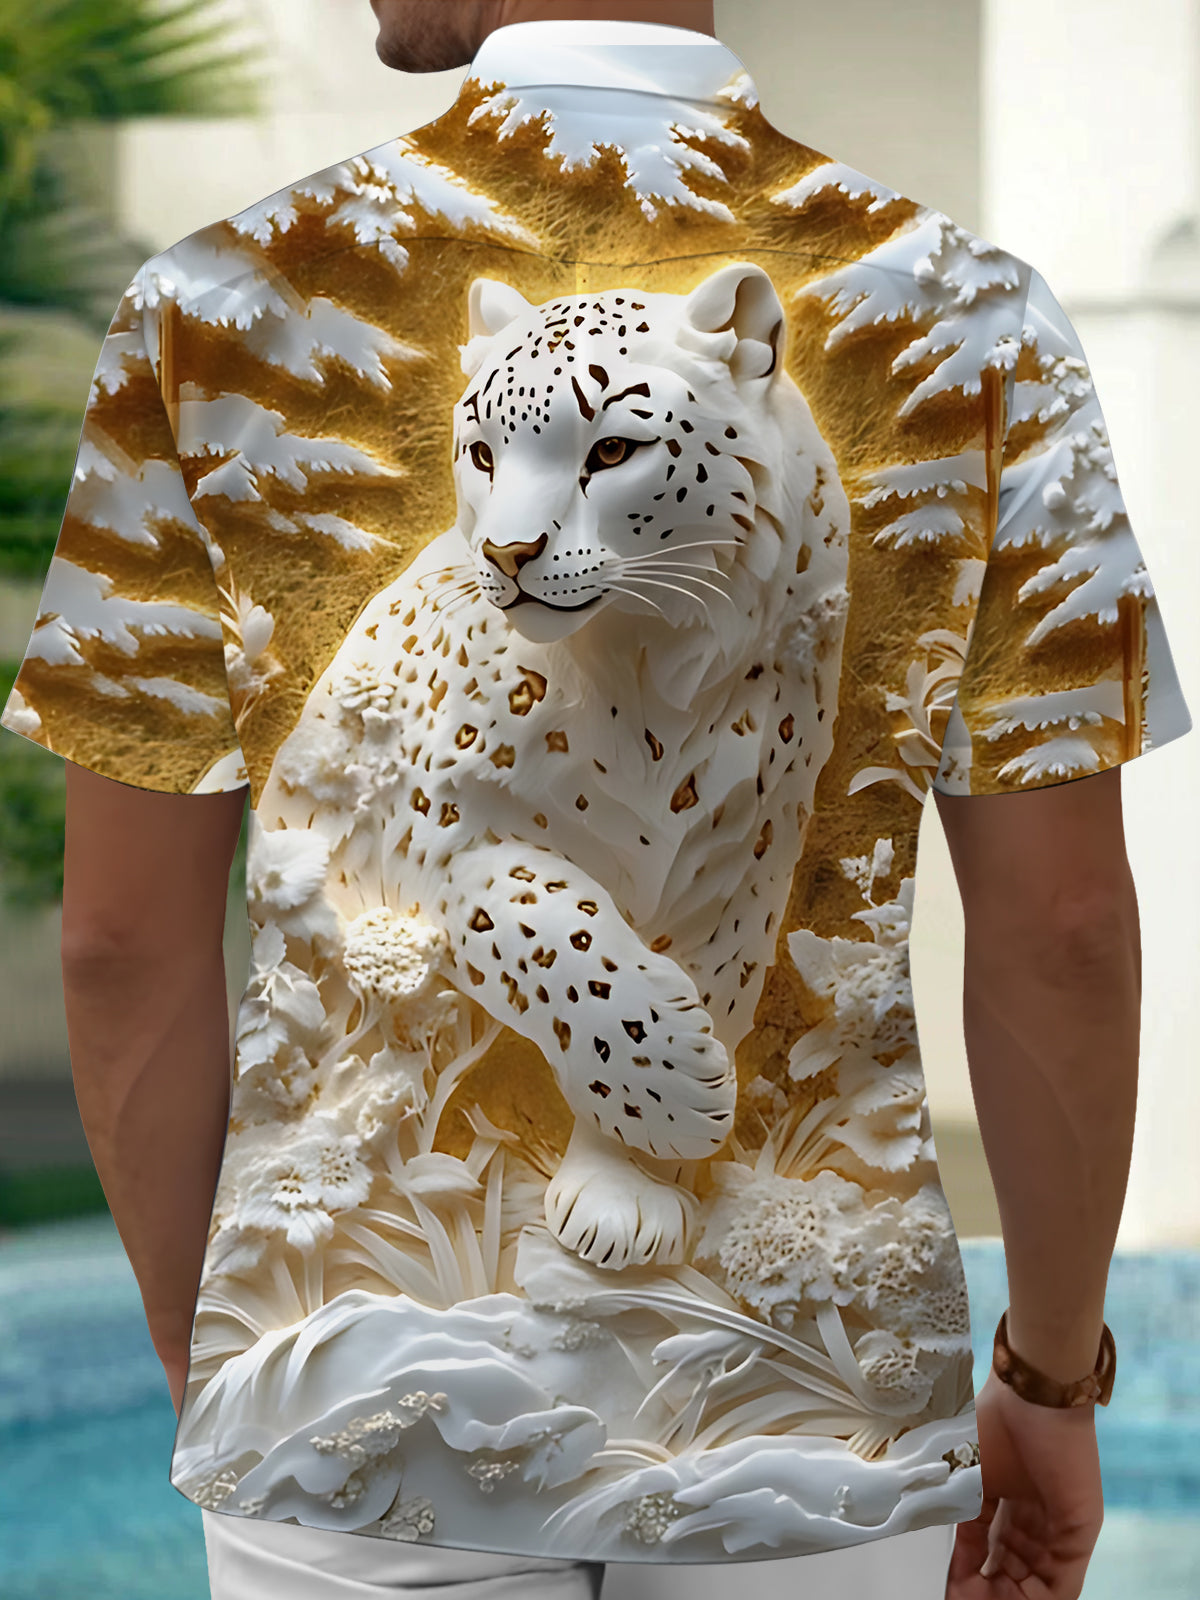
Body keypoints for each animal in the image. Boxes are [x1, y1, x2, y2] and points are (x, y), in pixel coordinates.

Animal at [259, 261, 851, 1272]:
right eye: (483, 454)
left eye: (612, 450)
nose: (508, 552)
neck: (653, 675)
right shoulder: (432, 837)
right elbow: (552, 928)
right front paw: (679, 1098)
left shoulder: (743, 860)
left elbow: (713, 980)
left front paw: (629, 1187)